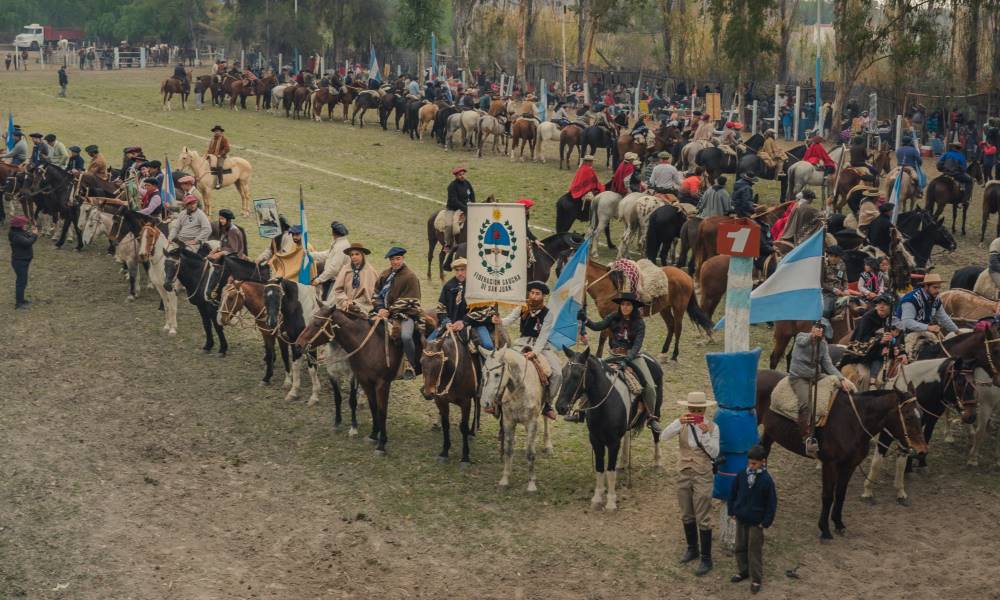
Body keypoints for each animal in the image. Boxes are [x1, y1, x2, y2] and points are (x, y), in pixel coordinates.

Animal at [420, 332, 482, 464]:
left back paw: (473, 431)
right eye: (421, 361)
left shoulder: (465, 402)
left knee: (478, 403)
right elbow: (445, 425)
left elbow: (463, 427)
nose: (428, 393)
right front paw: (444, 452)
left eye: (439, 363)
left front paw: (465, 457)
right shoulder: (441, 401)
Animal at [478, 344, 556, 490]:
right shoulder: (508, 422)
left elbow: (530, 453)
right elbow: (508, 450)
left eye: (497, 374)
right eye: (483, 372)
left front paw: (531, 484)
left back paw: (548, 445)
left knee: (546, 418)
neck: (520, 389)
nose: (485, 403)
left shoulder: (531, 423)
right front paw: (505, 479)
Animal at [556, 346, 664, 510]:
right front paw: (597, 497)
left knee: (655, 433)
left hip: (656, 409)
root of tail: (649, 357)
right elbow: (600, 469)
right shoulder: (595, 440)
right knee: (626, 437)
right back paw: (623, 463)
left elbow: (610, 471)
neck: (606, 403)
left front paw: (611, 502)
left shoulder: (613, 443)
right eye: (563, 372)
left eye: (577, 375)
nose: (560, 407)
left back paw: (657, 462)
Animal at [584, 258, 716, 360]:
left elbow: (602, 339)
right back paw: (664, 351)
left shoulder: (610, 318)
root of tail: (688, 277)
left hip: (679, 308)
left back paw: (674, 355)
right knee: (671, 325)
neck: (609, 287)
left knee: (678, 328)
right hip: (665, 308)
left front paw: (599, 357)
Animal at [756, 370, 928, 540]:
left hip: (770, 432)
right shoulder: (830, 464)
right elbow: (828, 496)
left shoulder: (849, 466)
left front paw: (839, 524)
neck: (852, 422)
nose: (922, 451)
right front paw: (825, 529)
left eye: (921, 413)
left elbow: (840, 494)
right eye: (908, 417)